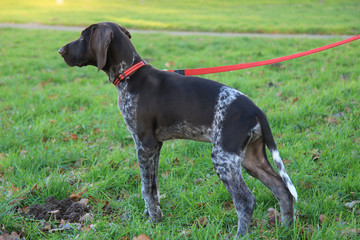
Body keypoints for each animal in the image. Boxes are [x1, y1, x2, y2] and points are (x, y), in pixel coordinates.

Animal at [58, 22, 296, 238]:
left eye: (83, 37)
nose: (60, 51)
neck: (130, 75)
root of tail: (257, 111)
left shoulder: (144, 144)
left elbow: (146, 188)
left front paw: (152, 223)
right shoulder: (155, 146)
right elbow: (153, 188)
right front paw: (154, 217)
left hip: (224, 159)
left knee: (246, 201)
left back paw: (241, 234)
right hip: (250, 159)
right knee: (283, 189)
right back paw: (286, 228)